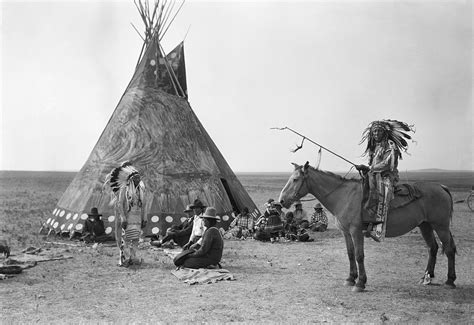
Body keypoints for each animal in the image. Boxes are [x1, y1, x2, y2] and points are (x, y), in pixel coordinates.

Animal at [278, 162, 456, 292]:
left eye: (295, 180)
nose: (281, 200)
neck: (343, 196)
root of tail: (441, 187)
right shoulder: (346, 233)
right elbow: (350, 254)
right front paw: (350, 279)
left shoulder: (356, 231)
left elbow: (359, 256)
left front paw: (360, 283)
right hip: (425, 225)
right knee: (433, 248)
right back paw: (426, 277)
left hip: (440, 226)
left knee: (449, 249)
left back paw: (450, 280)